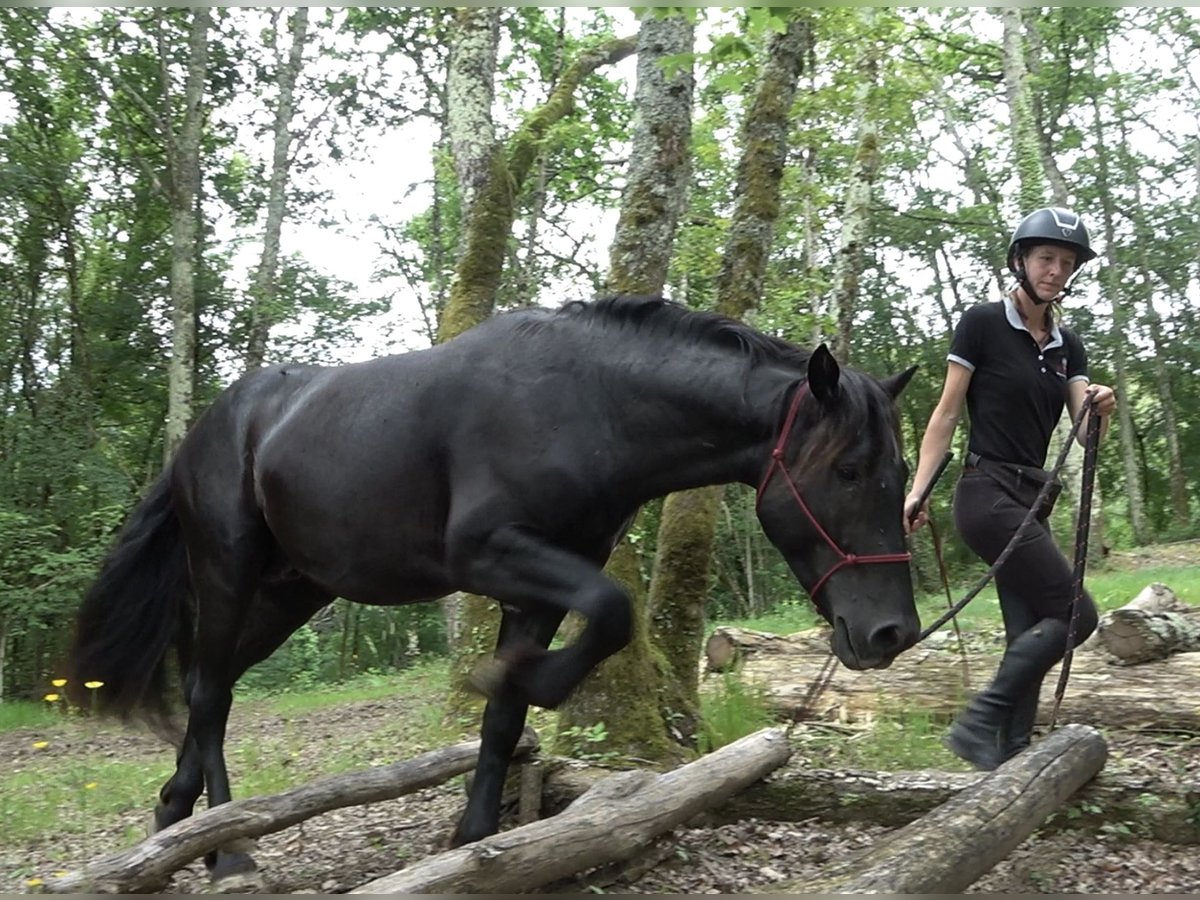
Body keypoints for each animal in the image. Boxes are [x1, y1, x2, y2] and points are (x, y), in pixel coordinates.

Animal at [68, 296, 916, 883]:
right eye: (847, 470)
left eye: (901, 471)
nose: (892, 634)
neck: (584, 405)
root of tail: (202, 434)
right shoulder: (490, 554)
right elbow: (610, 610)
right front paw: (524, 679)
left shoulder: (537, 592)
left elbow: (507, 720)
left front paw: (477, 837)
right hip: (229, 573)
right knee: (211, 694)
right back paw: (232, 849)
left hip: (289, 594)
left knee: (210, 685)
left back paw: (177, 823)